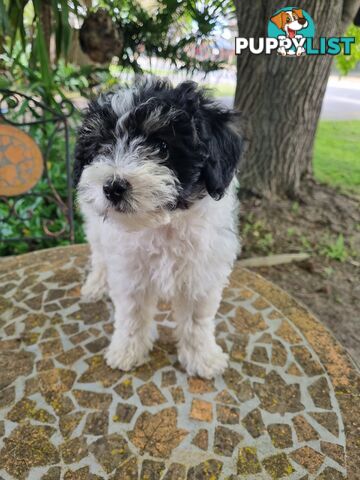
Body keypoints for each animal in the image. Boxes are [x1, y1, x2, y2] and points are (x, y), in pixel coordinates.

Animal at [74, 76, 243, 378]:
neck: (164, 226)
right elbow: (132, 315)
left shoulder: (201, 275)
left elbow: (197, 320)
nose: (112, 187)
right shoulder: (130, 273)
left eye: (162, 147)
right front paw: (127, 351)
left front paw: (202, 358)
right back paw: (95, 285)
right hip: (95, 226)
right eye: (101, 147)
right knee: (100, 256)